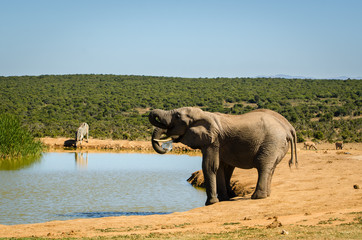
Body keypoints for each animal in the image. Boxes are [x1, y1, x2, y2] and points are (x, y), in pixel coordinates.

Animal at [148, 108, 298, 205]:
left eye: (177, 116)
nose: (166, 147)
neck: (204, 114)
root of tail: (288, 130)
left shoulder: (213, 141)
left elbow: (210, 166)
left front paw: (211, 203)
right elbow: (220, 167)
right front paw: (224, 199)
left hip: (272, 141)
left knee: (263, 165)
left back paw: (257, 197)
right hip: (277, 145)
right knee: (270, 168)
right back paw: (266, 195)